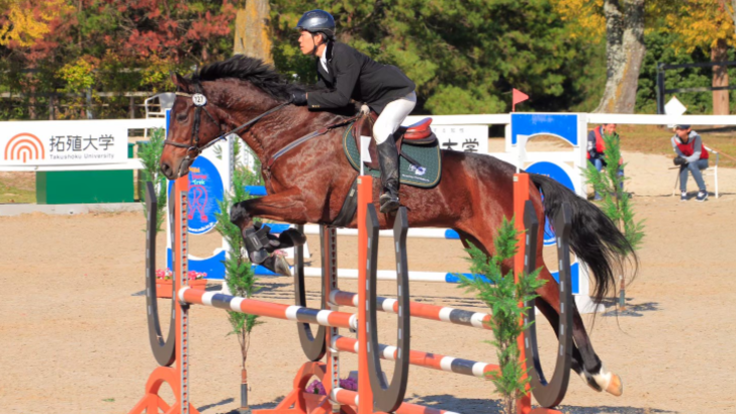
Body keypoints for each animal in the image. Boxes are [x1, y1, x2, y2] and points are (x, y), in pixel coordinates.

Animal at [160, 55, 632, 398]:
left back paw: (598, 371)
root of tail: (523, 176)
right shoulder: (302, 207)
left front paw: (265, 252)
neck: (291, 132)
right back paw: (579, 367)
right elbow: (254, 216)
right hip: (485, 247)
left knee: (551, 289)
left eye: (182, 116)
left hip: (510, 245)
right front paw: (275, 248)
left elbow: (241, 208)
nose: (166, 167)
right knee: (540, 295)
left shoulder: (305, 200)